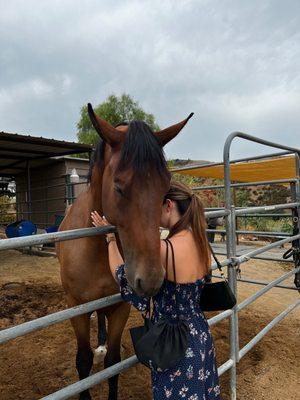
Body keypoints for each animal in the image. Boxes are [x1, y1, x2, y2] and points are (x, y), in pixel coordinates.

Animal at [55, 104, 193, 400]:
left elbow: (113, 363)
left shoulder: (120, 307)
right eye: (119, 186)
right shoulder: (77, 308)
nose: (150, 280)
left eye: (165, 187)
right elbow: (83, 361)